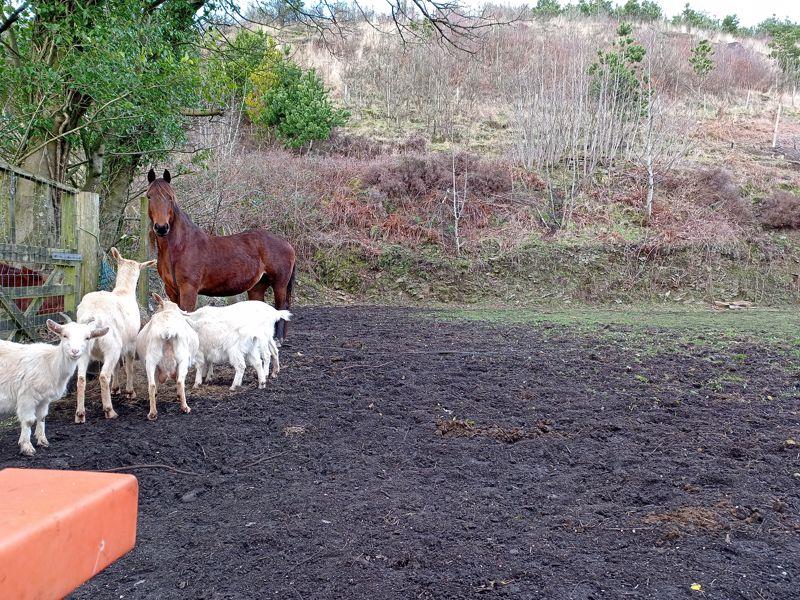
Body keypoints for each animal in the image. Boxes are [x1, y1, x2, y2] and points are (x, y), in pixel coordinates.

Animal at [0, 318, 108, 455]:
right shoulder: (27, 396)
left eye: (87, 338)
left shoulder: (44, 398)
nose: (75, 351)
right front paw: (26, 447)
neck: (50, 363)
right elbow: (29, 421)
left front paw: (43, 441)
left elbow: (42, 417)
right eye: (65, 335)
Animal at [74, 248, 155, 423]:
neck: (124, 291)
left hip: (82, 350)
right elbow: (129, 366)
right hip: (112, 345)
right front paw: (129, 392)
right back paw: (109, 410)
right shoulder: (130, 342)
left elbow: (117, 366)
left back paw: (80, 414)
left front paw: (116, 389)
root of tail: (93, 317)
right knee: (104, 376)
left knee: (81, 378)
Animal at [145, 169, 296, 342]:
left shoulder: (189, 289)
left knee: (281, 307)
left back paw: (278, 339)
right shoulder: (171, 290)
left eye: (170, 197)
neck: (179, 247)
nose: (161, 228)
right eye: (149, 196)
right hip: (257, 287)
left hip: (279, 285)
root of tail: (287, 244)